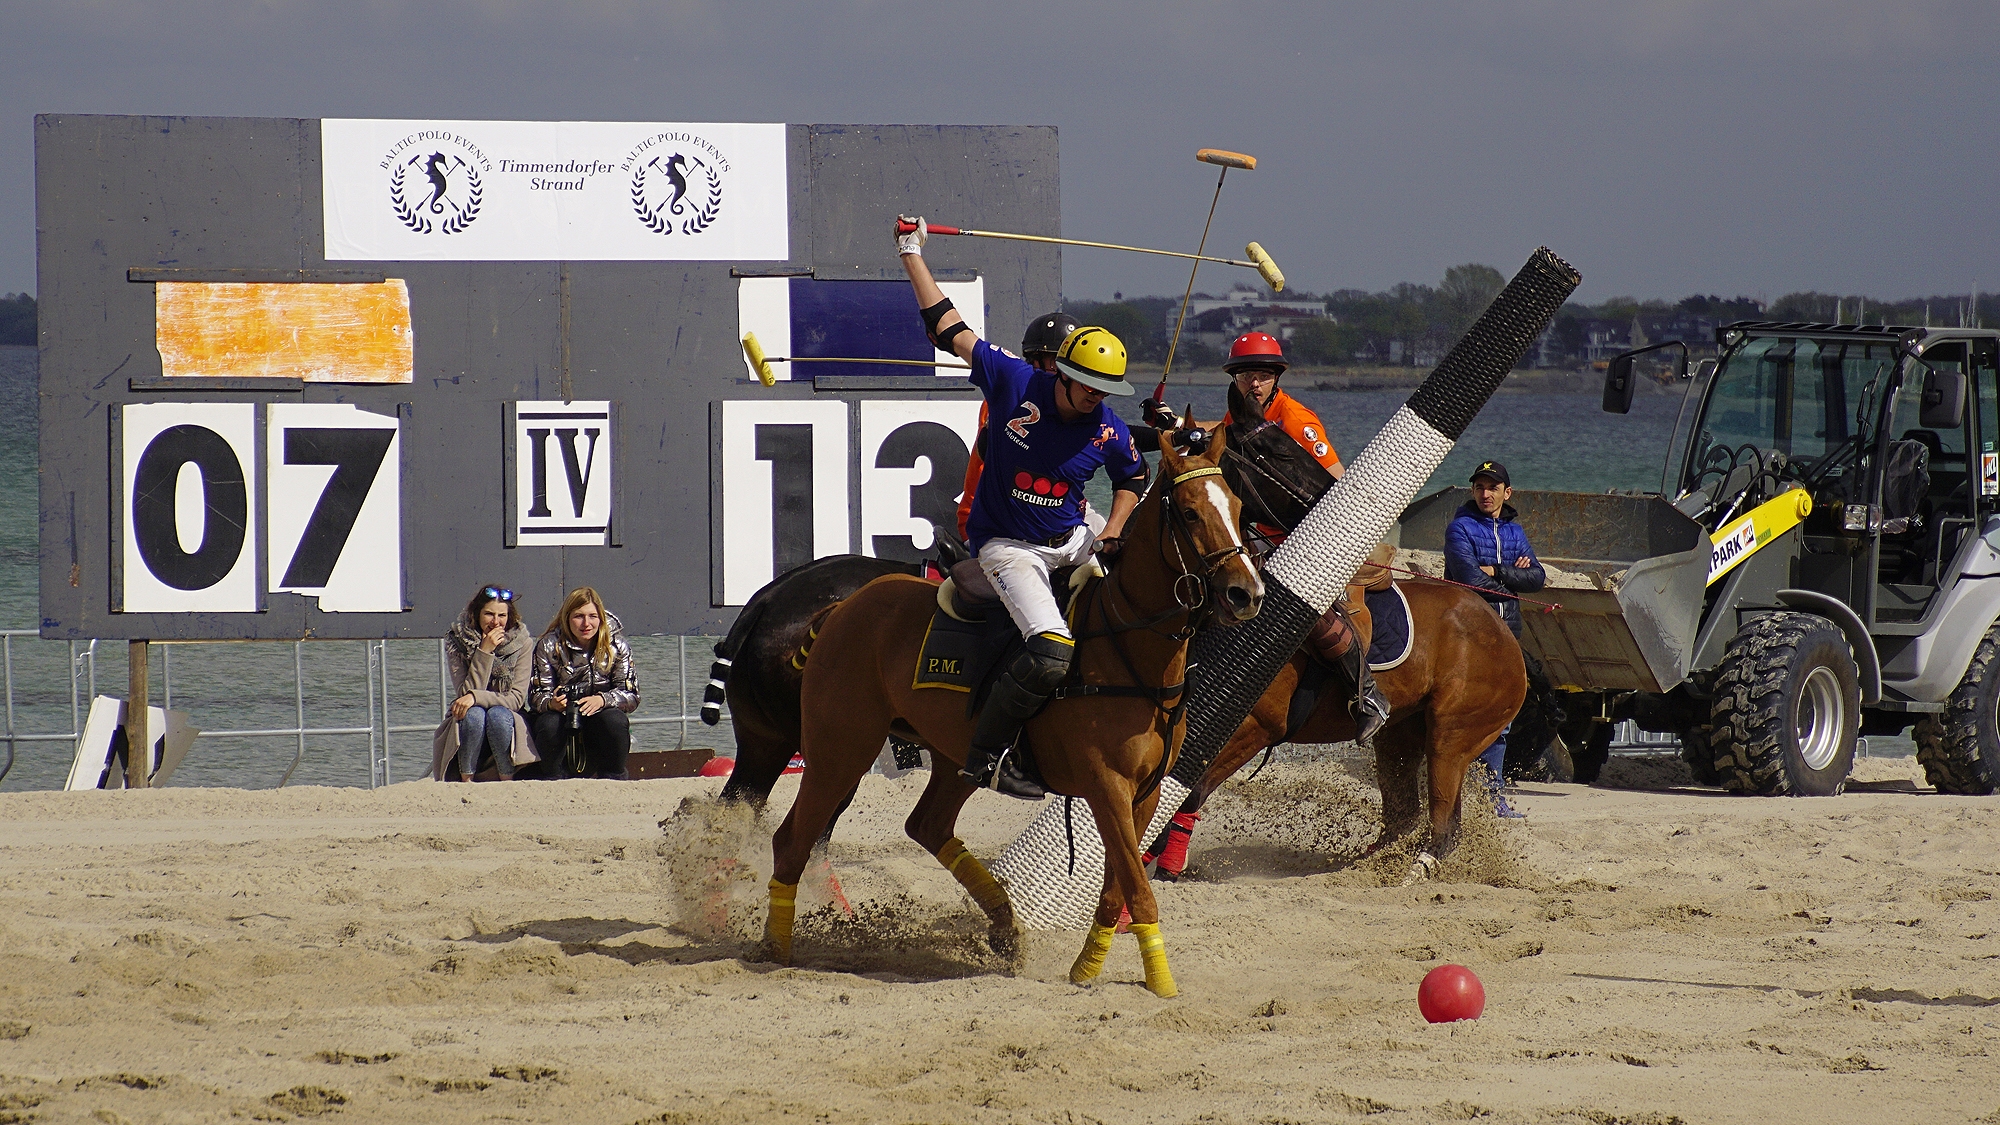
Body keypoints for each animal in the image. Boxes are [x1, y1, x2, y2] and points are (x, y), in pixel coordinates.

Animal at [756, 420, 1256, 988]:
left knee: (926, 824)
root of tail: (840, 610)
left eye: (1238, 506)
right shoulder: (1105, 786)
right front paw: (1162, 985)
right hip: (840, 750)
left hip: (953, 754)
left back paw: (1004, 927)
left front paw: (1087, 968)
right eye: (1190, 512)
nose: (1246, 593)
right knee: (793, 840)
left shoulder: (1143, 792)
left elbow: (1118, 889)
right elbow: (1139, 890)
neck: (1127, 647)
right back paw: (775, 946)